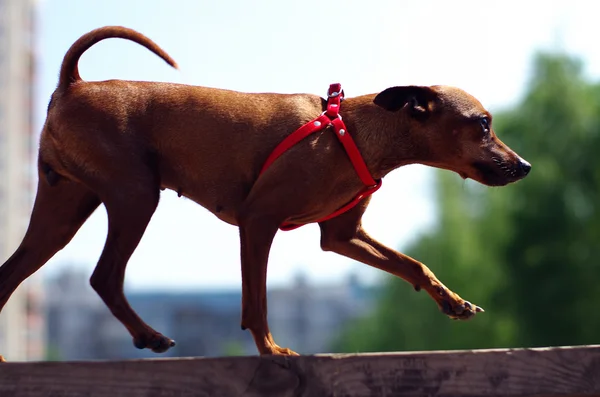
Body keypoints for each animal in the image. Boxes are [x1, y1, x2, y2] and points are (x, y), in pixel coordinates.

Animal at [0, 26, 528, 358]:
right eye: (483, 124)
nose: (523, 166)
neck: (352, 132)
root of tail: (72, 85)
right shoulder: (258, 222)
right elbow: (257, 302)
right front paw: (271, 351)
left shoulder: (341, 236)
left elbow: (411, 264)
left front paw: (451, 301)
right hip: (135, 196)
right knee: (104, 277)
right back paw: (149, 336)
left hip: (61, 214)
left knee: (11, 277)